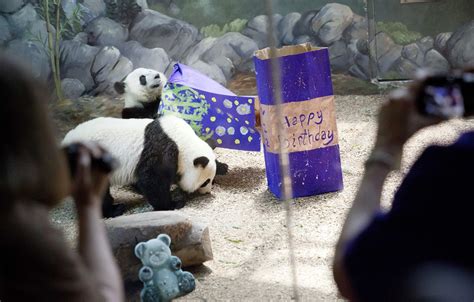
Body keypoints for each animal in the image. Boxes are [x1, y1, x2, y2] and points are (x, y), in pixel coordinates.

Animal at [61, 115, 228, 217]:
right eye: (205, 182)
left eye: (211, 181)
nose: (207, 191)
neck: (181, 140)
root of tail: (64, 143)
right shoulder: (163, 150)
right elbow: (152, 180)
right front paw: (173, 204)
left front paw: (223, 167)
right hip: (86, 159)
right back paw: (114, 209)